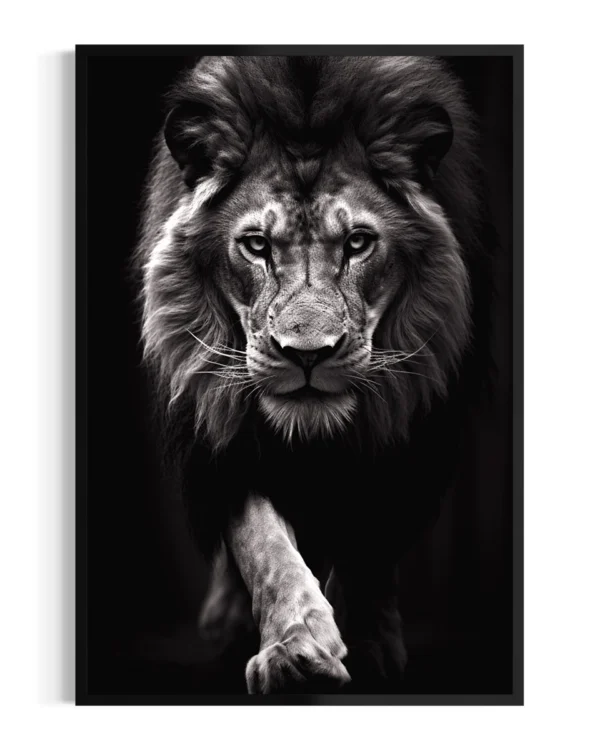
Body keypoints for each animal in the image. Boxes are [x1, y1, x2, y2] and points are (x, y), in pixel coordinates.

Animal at [135, 55, 492, 694]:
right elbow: (262, 542)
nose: (307, 354)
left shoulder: (410, 429)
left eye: (358, 242)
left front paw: (369, 642)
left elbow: (369, 539)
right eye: (256, 245)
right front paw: (295, 648)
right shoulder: (225, 431)